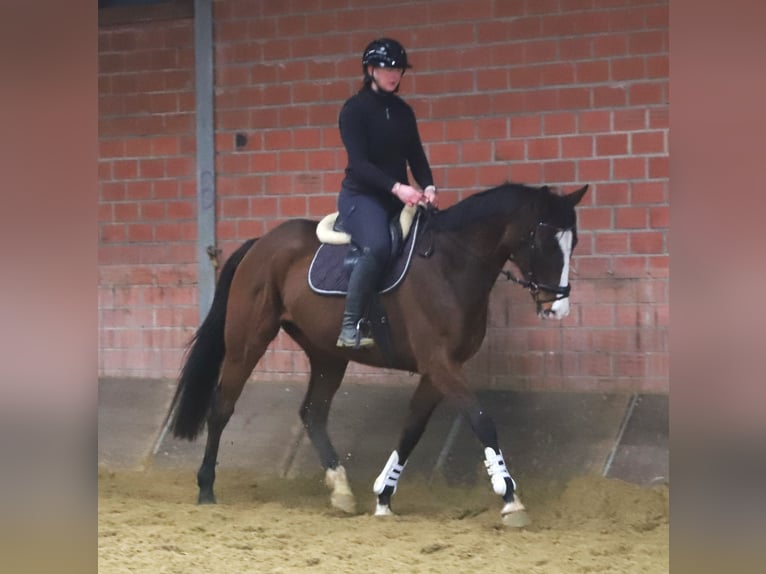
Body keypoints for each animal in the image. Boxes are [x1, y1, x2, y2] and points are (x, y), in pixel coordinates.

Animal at [167, 181, 588, 527]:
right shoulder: (441, 363)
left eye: (574, 242)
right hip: (248, 340)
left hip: (328, 354)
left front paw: (384, 497)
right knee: (222, 407)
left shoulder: (437, 369)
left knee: (312, 412)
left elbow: (411, 430)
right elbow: (481, 420)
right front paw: (510, 498)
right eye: (543, 240)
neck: (450, 264)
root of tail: (261, 243)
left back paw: (341, 491)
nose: (558, 308)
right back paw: (206, 488)